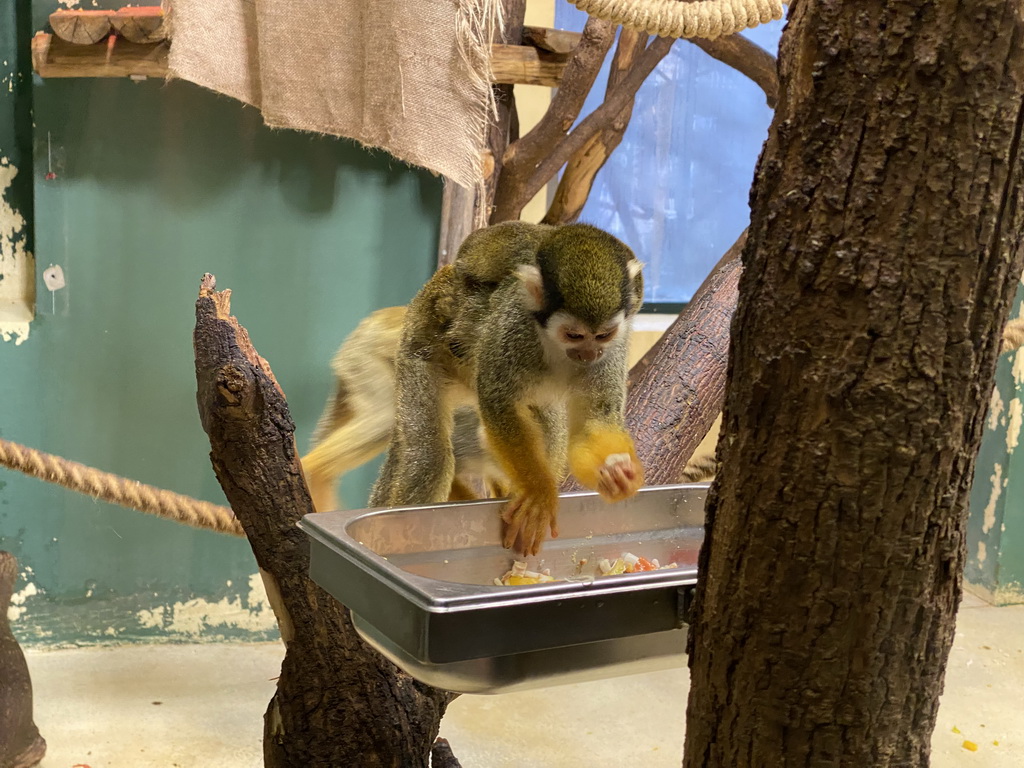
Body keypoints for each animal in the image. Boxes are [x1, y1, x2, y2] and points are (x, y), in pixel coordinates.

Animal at [370, 219, 647, 557]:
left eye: (604, 335)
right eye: (574, 335)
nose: (589, 354)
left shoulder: (615, 347)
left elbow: (595, 419)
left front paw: (618, 475)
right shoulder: (515, 327)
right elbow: (498, 402)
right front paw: (539, 494)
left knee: (549, 429)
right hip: (418, 346)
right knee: (429, 457)